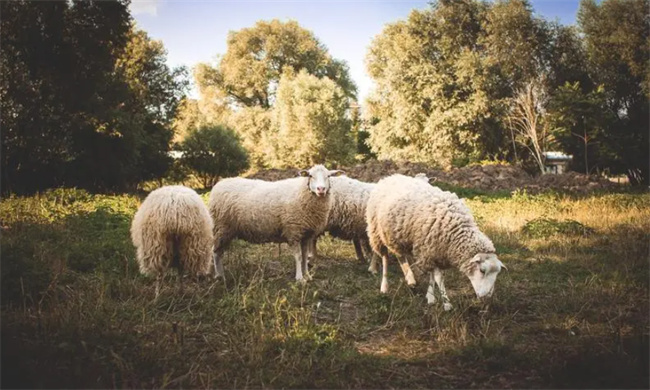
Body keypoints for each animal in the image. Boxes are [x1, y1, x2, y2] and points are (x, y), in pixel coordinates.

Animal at [209, 165, 342, 284]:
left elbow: (304, 257)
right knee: (215, 252)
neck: (302, 192)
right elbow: (298, 256)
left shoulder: (307, 234)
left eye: (328, 176)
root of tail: (220, 183)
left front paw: (307, 276)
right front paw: (299, 278)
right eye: (310, 175)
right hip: (221, 228)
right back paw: (219, 276)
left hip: (226, 230)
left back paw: (221, 275)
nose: (321, 189)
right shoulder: (293, 231)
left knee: (219, 252)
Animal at [364, 175, 506, 310]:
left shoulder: (435, 251)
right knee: (385, 258)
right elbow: (439, 278)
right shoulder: (428, 249)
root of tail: (389, 177)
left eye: (497, 274)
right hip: (377, 232)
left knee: (400, 256)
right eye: (482, 270)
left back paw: (411, 279)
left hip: (398, 237)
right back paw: (385, 286)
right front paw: (446, 303)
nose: (486, 297)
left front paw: (430, 297)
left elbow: (433, 276)